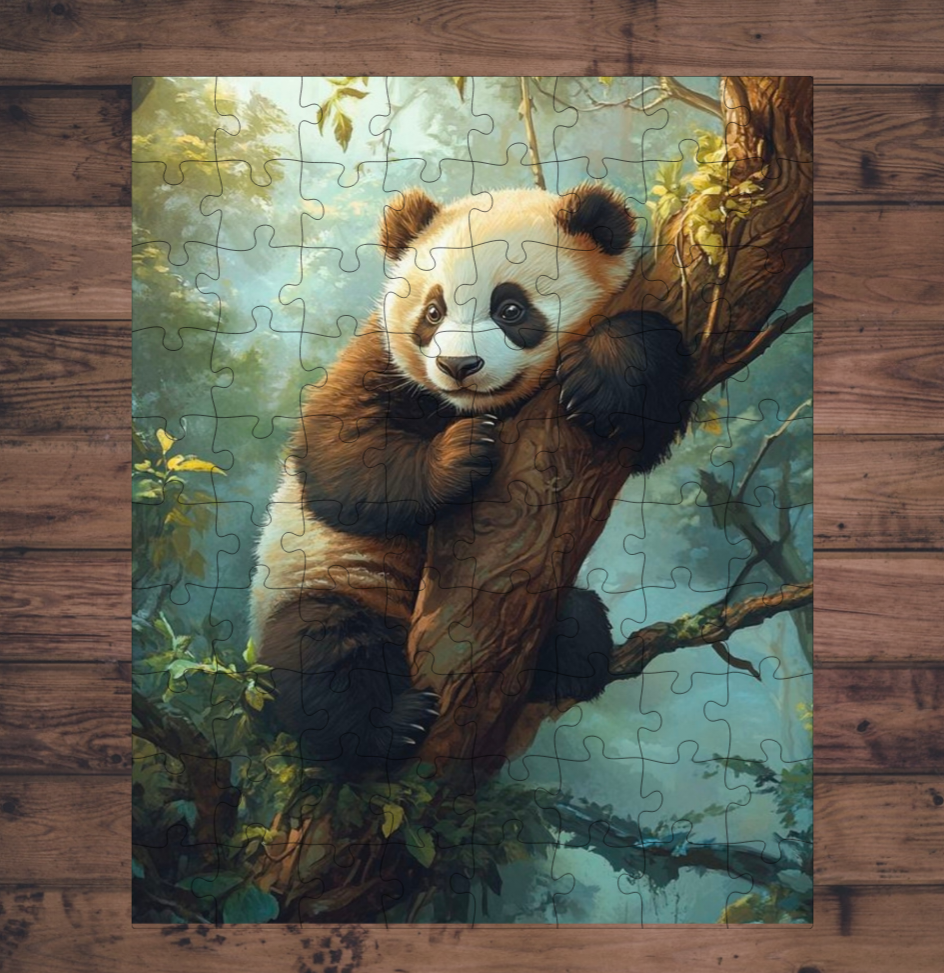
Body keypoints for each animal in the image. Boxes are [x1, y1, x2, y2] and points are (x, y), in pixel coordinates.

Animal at [251, 182, 691, 771]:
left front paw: (606, 373)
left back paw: (571, 651)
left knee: (577, 617)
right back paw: (391, 723)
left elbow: (640, 425)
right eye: (433, 312)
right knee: (320, 646)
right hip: (324, 576)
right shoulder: (378, 360)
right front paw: (459, 455)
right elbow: (340, 453)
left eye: (511, 308)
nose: (459, 367)